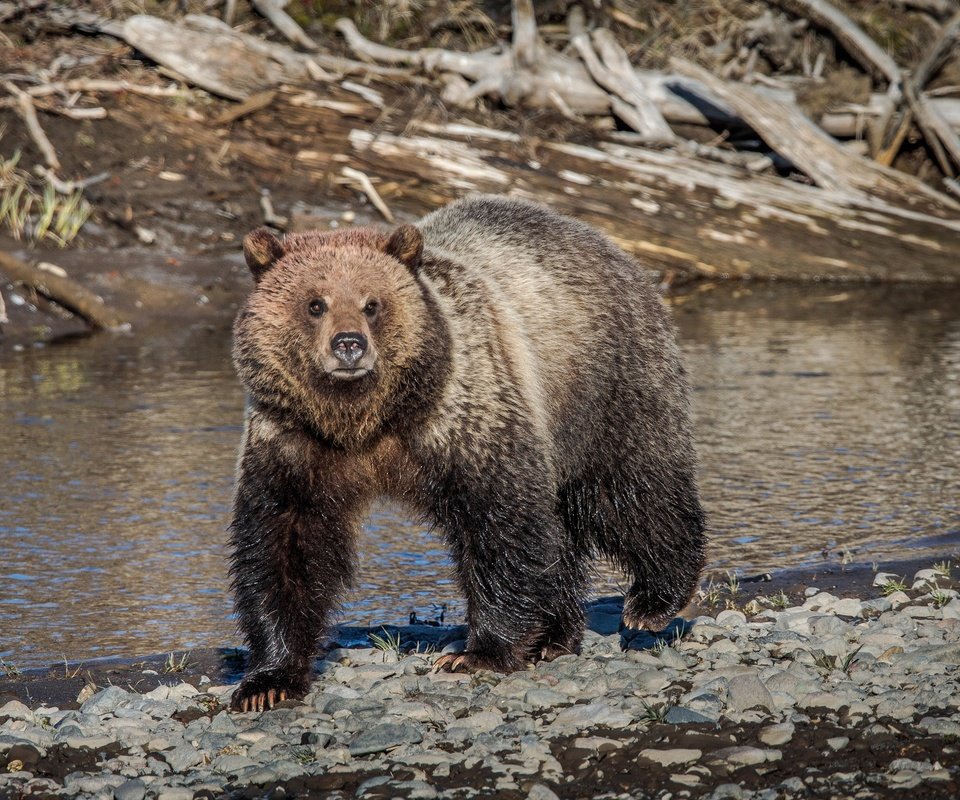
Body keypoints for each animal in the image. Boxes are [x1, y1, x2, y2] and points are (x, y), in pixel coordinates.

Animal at [225, 195, 704, 712]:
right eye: (315, 303)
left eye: (372, 304)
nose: (349, 345)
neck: (364, 420)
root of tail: (606, 243)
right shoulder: (294, 444)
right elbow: (283, 546)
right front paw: (267, 681)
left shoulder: (462, 412)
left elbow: (500, 521)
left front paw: (477, 653)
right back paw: (555, 636)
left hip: (601, 384)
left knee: (629, 489)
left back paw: (653, 600)